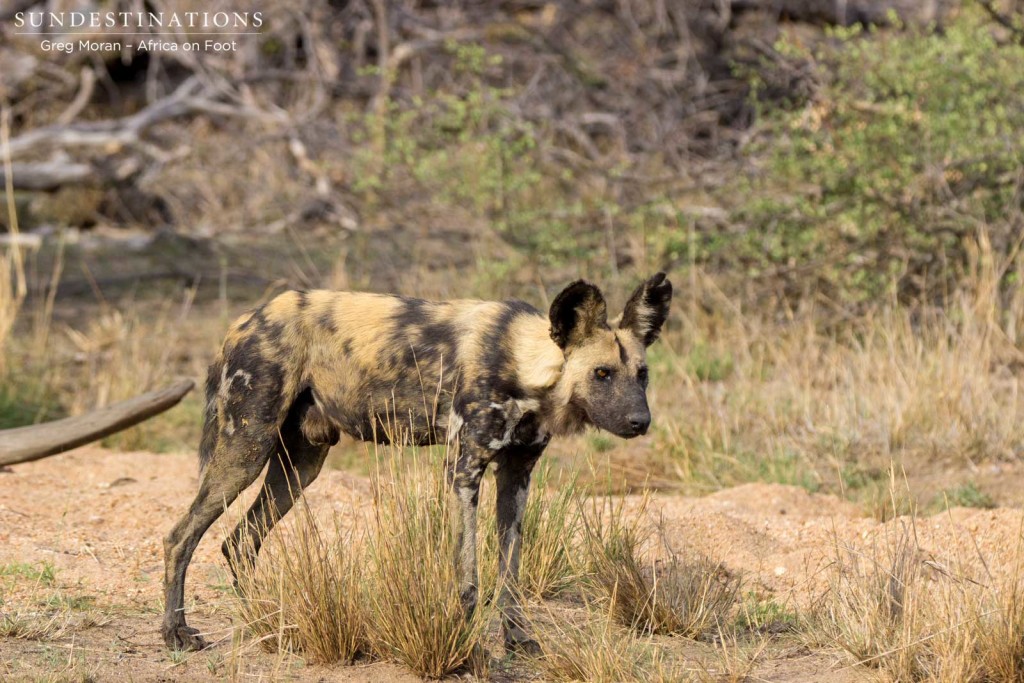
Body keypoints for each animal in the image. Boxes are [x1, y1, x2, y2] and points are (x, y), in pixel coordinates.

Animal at [161, 270, 671, 651]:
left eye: (642, 375)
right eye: (601, 374)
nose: (640, 421)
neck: (524, 364)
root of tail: (247, 318)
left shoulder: (516, 478)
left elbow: (510, 576)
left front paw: (520, 642)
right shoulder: (464, 470)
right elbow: (469, 579)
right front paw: (466, 649)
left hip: (301, 465)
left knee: (240, 542)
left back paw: (267, 620)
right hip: (247, 451)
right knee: (180, 536)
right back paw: (176, 633)